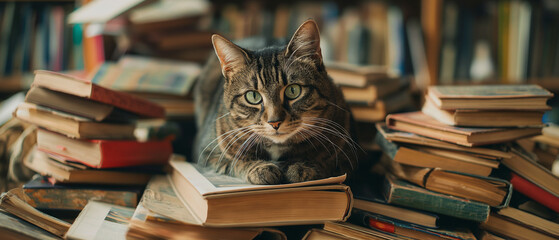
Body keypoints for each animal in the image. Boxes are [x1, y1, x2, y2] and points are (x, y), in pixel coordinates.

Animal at [192, 19, 358, 185]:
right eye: (253, 96)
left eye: (293, 90)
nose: (275, 122)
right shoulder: (207, 154)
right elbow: (236, 161)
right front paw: (260, 168)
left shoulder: (348, 157)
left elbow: (326, 162)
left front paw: (301, 166)